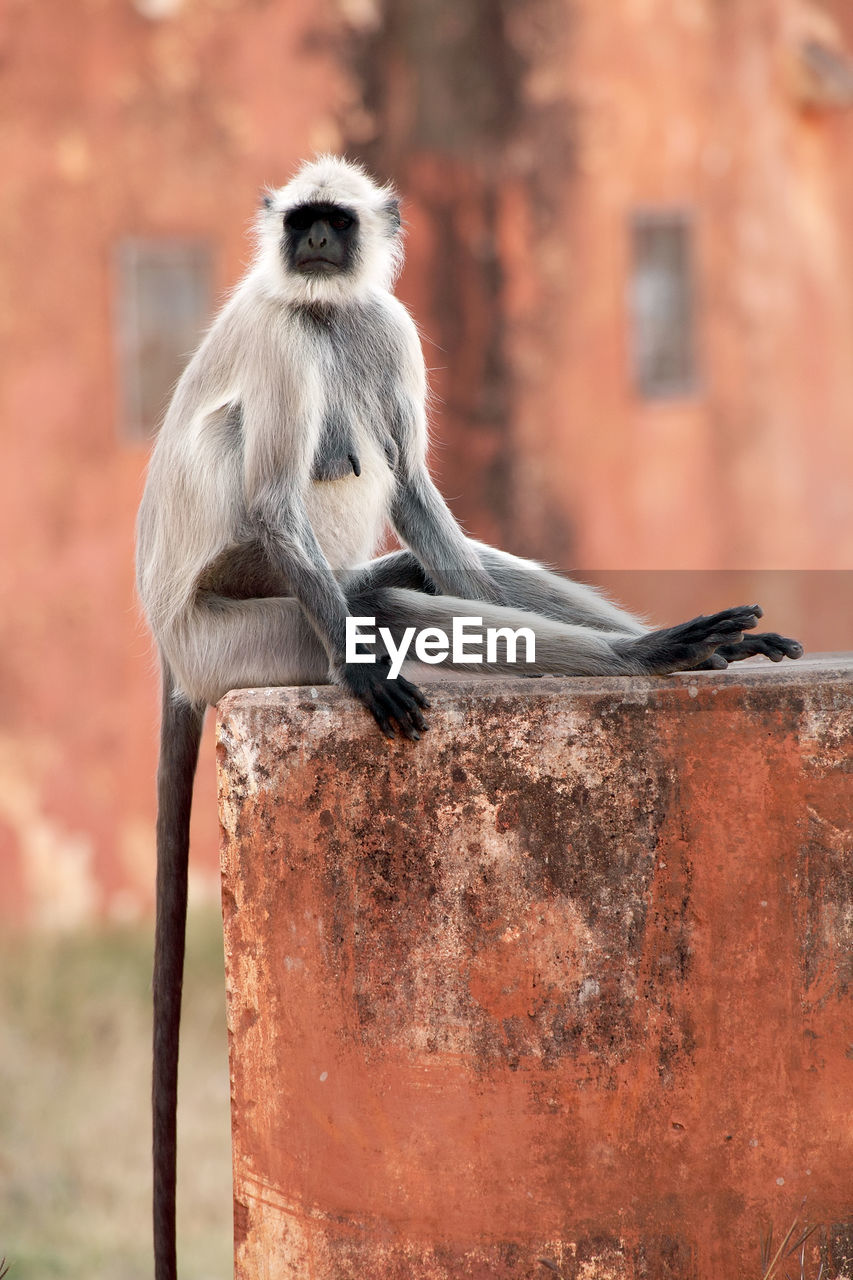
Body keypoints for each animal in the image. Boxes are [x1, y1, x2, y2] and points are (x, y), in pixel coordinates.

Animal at [134, 152, 799, 1280]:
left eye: (334, 222)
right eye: (302, 224)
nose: (317, 245)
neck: (327, 309)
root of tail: (173, 655)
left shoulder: (385, 322)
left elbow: (417, 492)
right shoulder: (283, 336)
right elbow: (277, 496)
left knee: (411, 563)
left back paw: (666, 645)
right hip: (237, 635)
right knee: (359, 572)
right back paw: (632, 654)